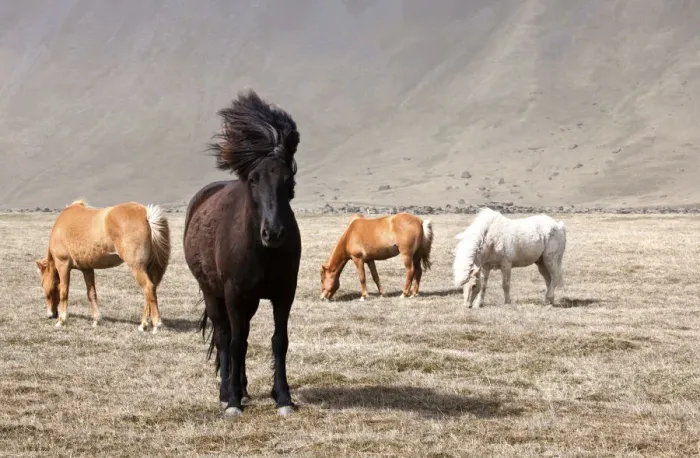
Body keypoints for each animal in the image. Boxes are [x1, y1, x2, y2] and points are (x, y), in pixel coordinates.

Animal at [35, 200, 171, 332]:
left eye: (42, 283)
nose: (51, 315)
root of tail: (146, 214)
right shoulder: (87, 268)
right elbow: (91, 294)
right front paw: (96, 320)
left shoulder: (62, 265)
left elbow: (64, 292)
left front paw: (61, 320)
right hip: (149, 268)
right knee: (151, 291)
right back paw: (143, 324)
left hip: (137, 267)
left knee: (149, 288)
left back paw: (156, 324)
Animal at [184, 90, 301, 417]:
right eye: (253, 179)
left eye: (289, 180)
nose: (273, 233)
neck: (262, 253)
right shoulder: (234, 293)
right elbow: (235, 343)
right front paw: (233, 401)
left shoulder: (284, 293)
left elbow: (279, 341)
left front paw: (283, 398)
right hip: (213, 293)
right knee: (226, 337)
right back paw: (228, 391)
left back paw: (244, 388)